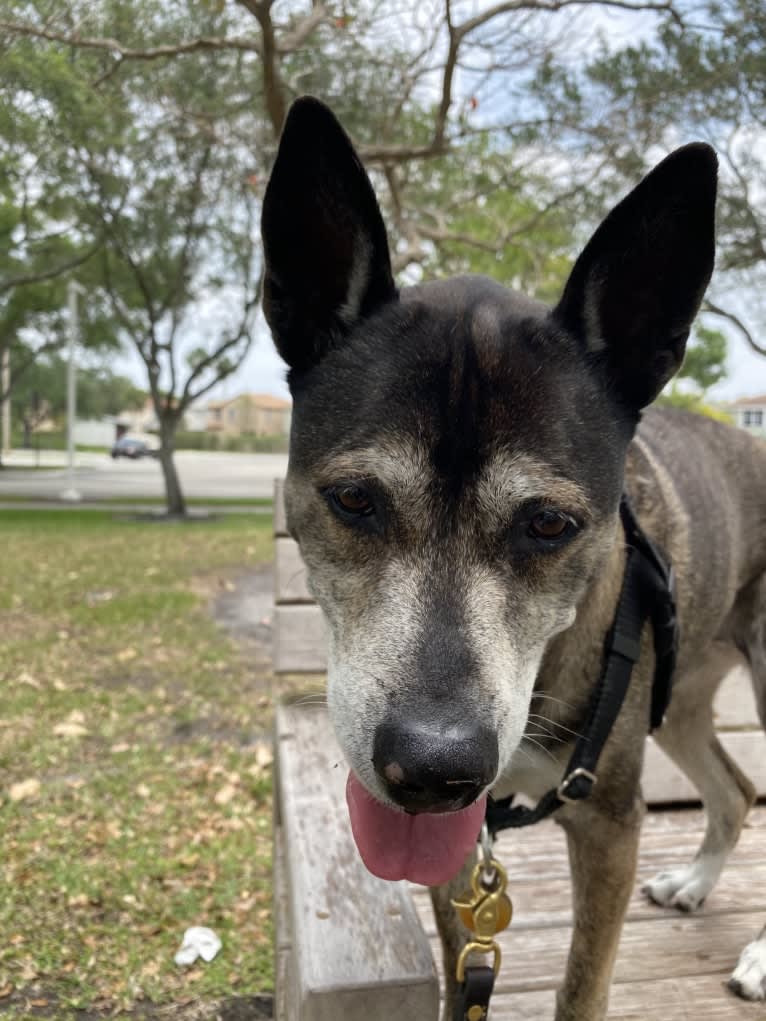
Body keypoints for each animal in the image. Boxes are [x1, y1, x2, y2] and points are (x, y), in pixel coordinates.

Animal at [263, 93, 766, 1012]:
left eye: (549, 524)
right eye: (353, 499)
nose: (434, 767)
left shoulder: (608, 819)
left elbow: (582, 988)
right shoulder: (457, 839)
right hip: (680, 696)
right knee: (736, 787)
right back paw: (696, 882)